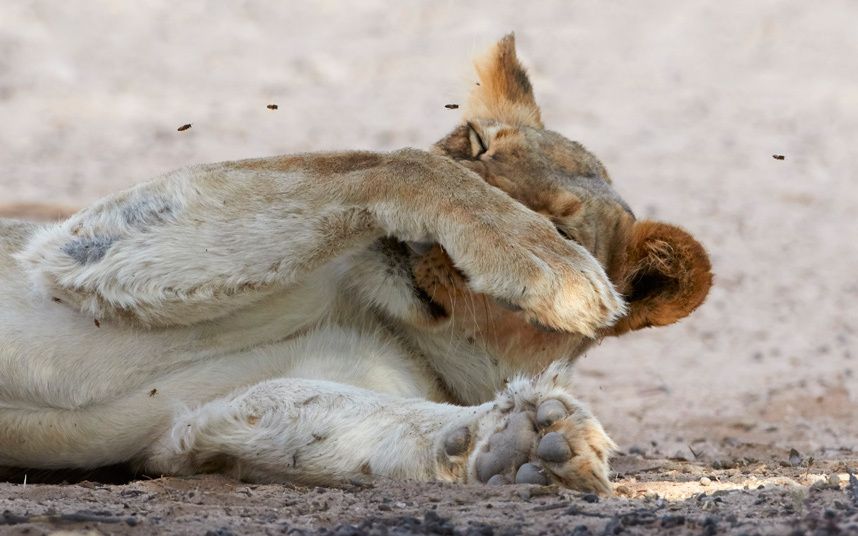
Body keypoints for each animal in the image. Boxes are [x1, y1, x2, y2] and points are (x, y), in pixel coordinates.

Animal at [0, 34, 708, 494]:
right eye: (475, 143)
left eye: (564, 222)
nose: (419, 247)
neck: (379, 312)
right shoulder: (72, 254)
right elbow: (392, 162)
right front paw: (552, 270)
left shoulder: (199, 425)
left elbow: (333, 413)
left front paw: (521, 442)